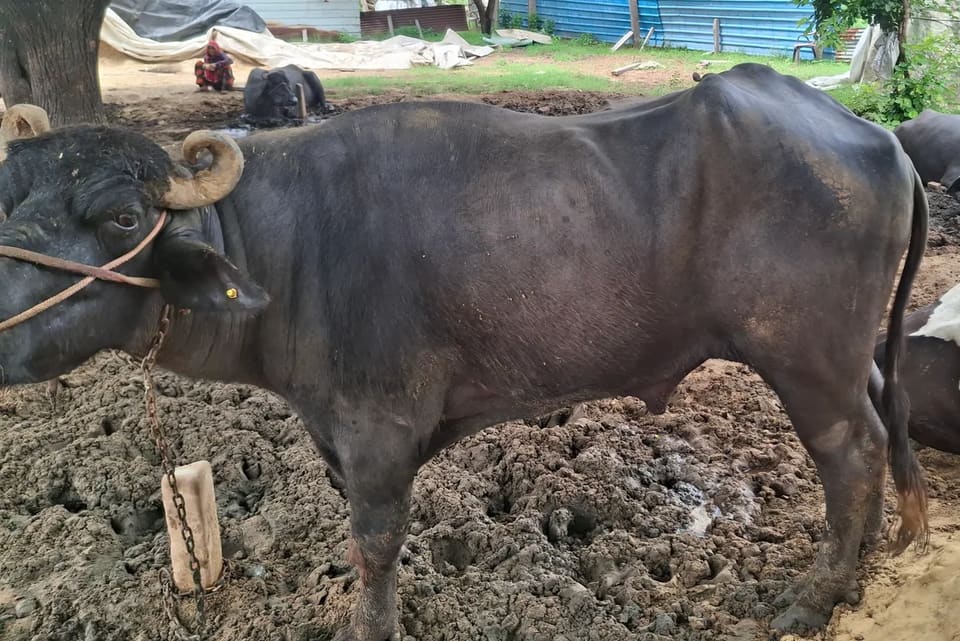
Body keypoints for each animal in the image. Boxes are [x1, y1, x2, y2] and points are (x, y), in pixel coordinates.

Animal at [0, 64, 930, 639]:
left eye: (123, 217)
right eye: (9, 197)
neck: (283, 246)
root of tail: (881, 141)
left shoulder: (378, 434)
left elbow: (374, 543)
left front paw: (370, 623)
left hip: (807, 361)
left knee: (852, 452)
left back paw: (813, 594)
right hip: (851, 356)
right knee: (881, 429)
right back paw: (863, 561)